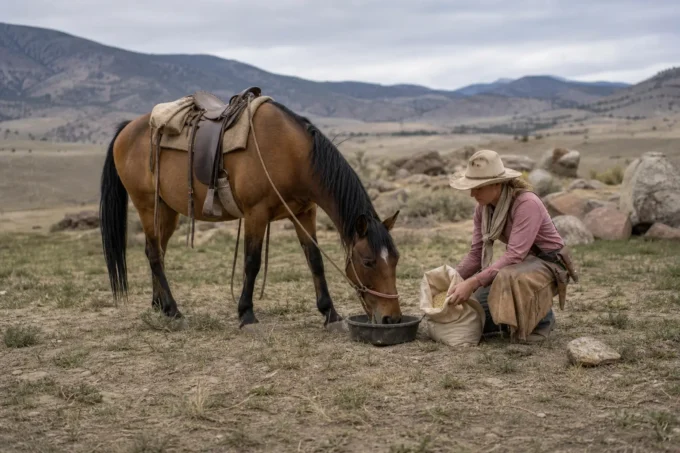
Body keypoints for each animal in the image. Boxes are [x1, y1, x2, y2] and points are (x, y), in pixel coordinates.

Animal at [98, 97, 403, 327]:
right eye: (368, 262)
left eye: (396, 259)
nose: (392, 319)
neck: (290, 153)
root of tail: (126, 130)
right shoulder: (256, 215)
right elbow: (252, 263)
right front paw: (246, 313)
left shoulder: (305, 213)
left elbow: (315, 261)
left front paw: (330, 313)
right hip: (146, 205)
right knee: (154, 253)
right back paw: (173, 310)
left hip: (167, 211)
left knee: (156, 251)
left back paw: (158, 304)